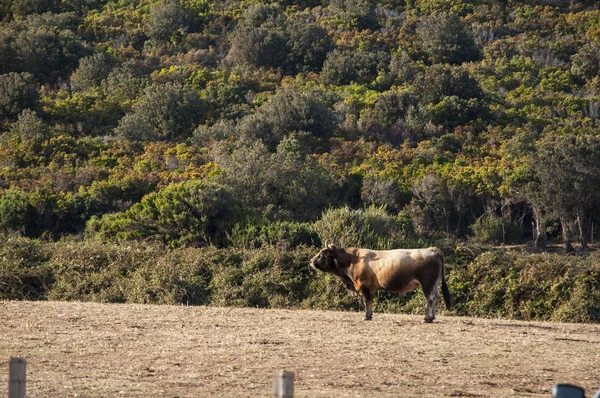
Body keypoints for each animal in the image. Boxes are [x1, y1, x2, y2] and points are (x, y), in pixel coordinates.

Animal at [310, 244, 450, 322]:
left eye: (322, 253)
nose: (311, 261)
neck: (354, 259)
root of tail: (431, 250)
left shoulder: (364, 286)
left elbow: (367, 301)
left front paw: (366, 316)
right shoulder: (370, 288)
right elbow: (370, 301)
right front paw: (370, 315)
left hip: (427, 284)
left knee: (430, 299)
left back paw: (427, 318)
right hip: (434, 284)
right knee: (435, 298)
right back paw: (432, 317)